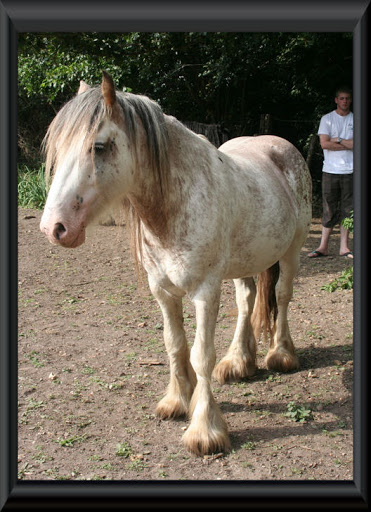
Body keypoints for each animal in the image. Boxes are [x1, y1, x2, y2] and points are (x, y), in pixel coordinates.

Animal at [40, 69, 314, 456]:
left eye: (99, 146)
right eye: (59, 148)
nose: (54, 227)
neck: (174, 203)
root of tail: (280, 146)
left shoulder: (204, 291)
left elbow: (200, 355)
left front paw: (205, 430)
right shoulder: (163, 291)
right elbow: (174, 343)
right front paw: (177, 401)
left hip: (292, 250)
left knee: (284, 295)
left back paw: (280, 355)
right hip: (244, 261)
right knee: (247, 301)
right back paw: (238, 361)